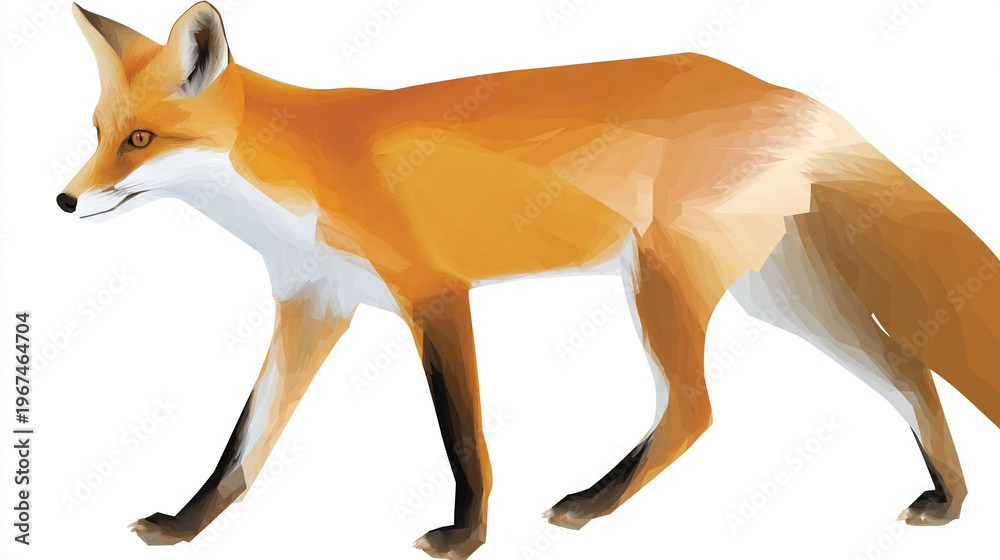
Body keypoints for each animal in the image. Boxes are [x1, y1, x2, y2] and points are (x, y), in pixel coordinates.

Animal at [59, 2, 1000, 558]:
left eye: (141, 141)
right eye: (101, 132)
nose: (64, 201)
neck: (297, 173)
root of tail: (787, 93)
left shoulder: (433, 293)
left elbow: (462, 436)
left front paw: (466, 534)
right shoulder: (314, 305)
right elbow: (243, 442)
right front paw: (187, 525)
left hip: (666, 284)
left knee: (694, 409)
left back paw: (591, 505)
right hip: (783, 299)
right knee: (907, 369)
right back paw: (949, 501)